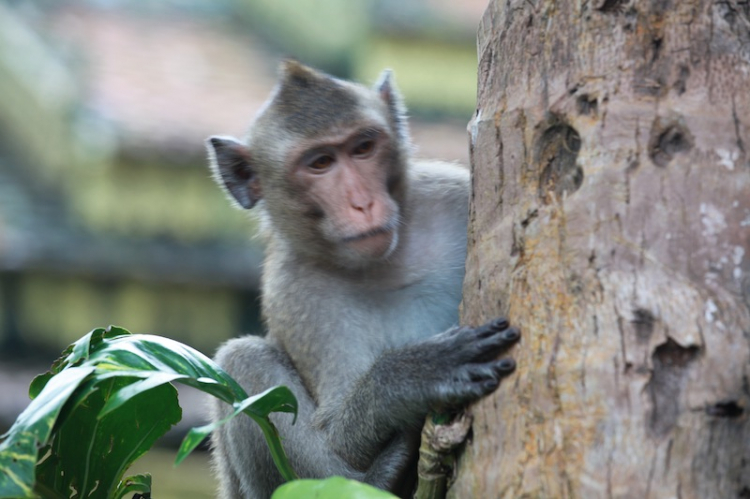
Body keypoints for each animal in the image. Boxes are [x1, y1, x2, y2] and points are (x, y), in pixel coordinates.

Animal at [206, 60, 524, 498]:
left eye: (362, 148)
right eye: (320, 163)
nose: (362, 203)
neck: (385, 263)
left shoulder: (453, 195)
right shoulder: (294, 292)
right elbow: (337, 432)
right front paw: (411, 375)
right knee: (242, 360)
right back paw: (377, 479)